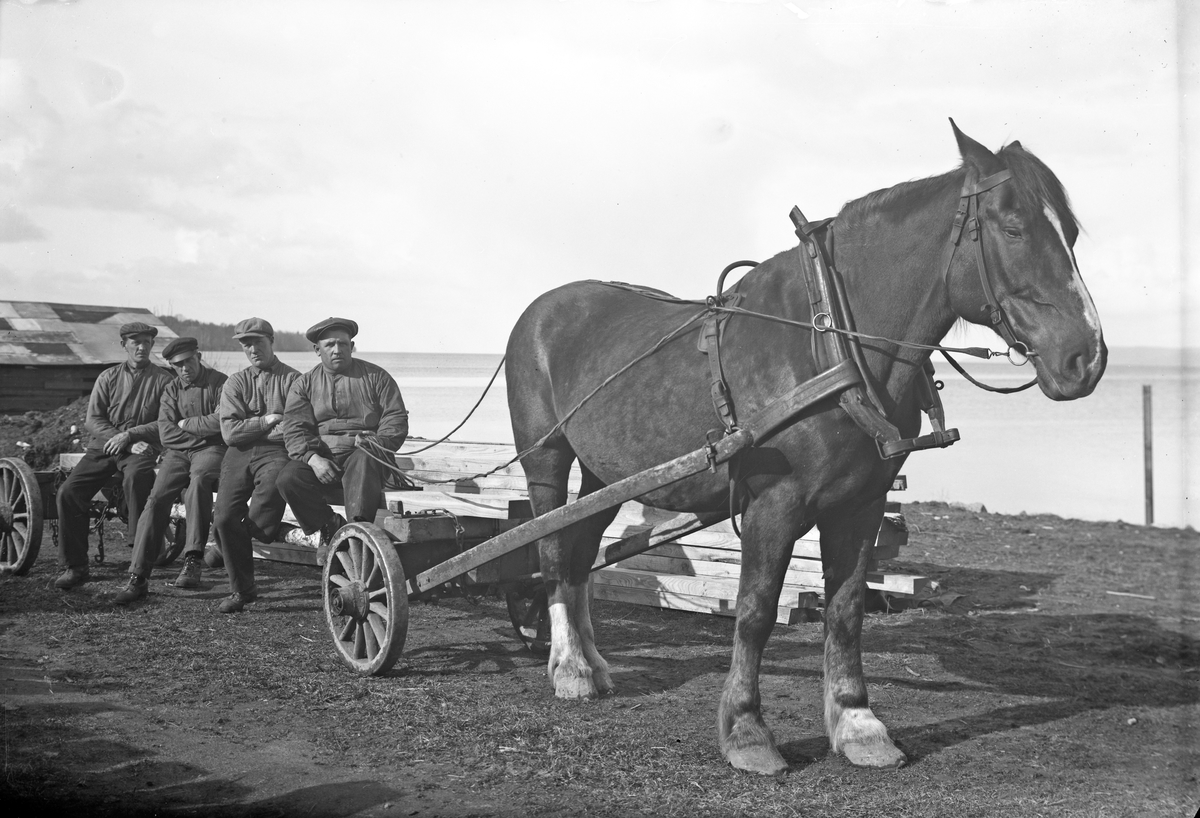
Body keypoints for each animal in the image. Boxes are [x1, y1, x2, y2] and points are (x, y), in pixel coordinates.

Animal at [504, 121, 1106, 775]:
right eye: (1013, 227)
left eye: (1071, 232)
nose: (1087, 357)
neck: (831, 345)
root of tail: (542, 309)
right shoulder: (776, 503)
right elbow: (755, 611)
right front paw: (746, 730)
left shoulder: (861, 503)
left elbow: (845, 612)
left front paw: (858, 723)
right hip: (546, 462)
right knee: (552, 552)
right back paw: (567, 667)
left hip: (604, 475)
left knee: (581, 553)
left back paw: (592, 662)